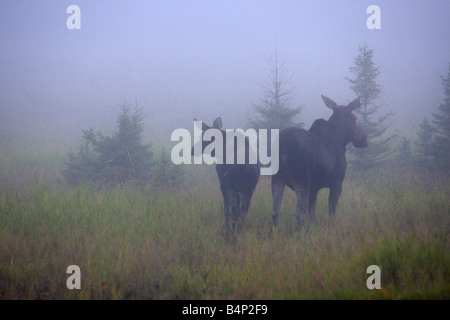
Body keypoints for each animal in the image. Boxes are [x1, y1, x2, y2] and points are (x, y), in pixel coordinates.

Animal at [270, 94, 366, 228]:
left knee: (275, 212)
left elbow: (313, 214)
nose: (364, 138)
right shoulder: (336, 183)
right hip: (303, 180)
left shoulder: (314, 187)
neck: (340, 139)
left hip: (277, 178)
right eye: (354, 119)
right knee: (300, 215)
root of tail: (284, 145)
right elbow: (331, 213)